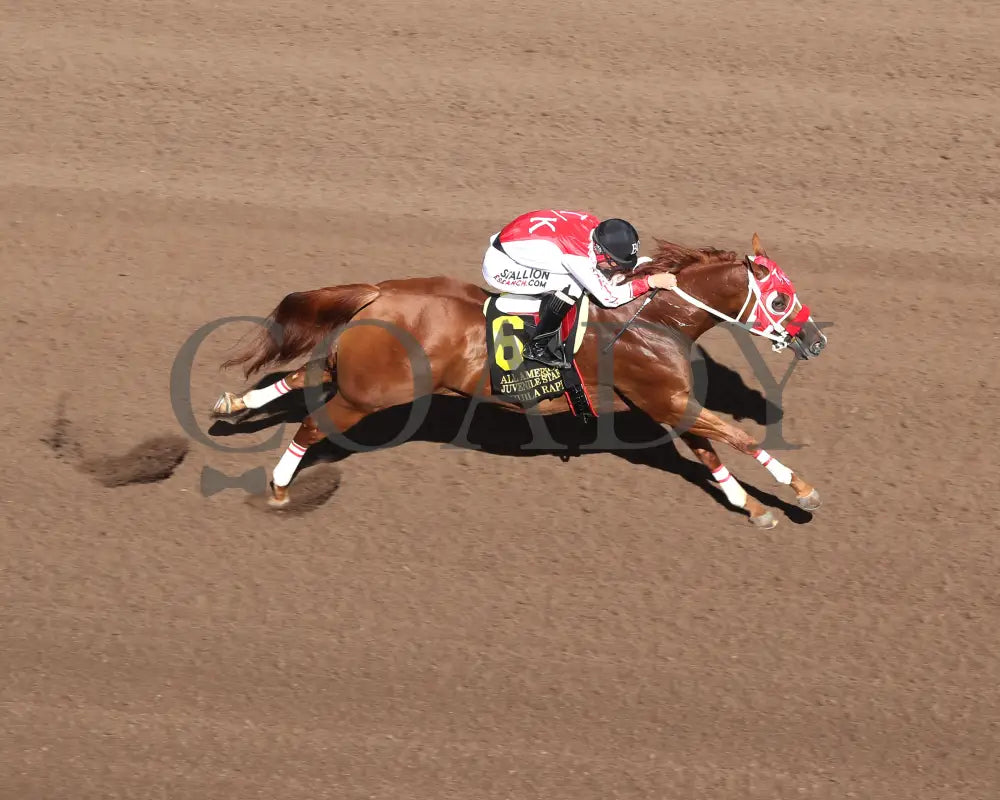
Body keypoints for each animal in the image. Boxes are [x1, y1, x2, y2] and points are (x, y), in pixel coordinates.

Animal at [210, 232, 828, 528]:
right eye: (779, 298)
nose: (816, 340)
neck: (651, 319)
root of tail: (378, 292)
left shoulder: (667, 403)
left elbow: (711, 451)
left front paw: (751, 507)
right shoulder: (666, 399)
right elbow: (739, 437)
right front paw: (801, 489)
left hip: (358, 374)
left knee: (299, 376)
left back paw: (233, 403)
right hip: (373, 394)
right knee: (311, 426)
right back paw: (280, 487)